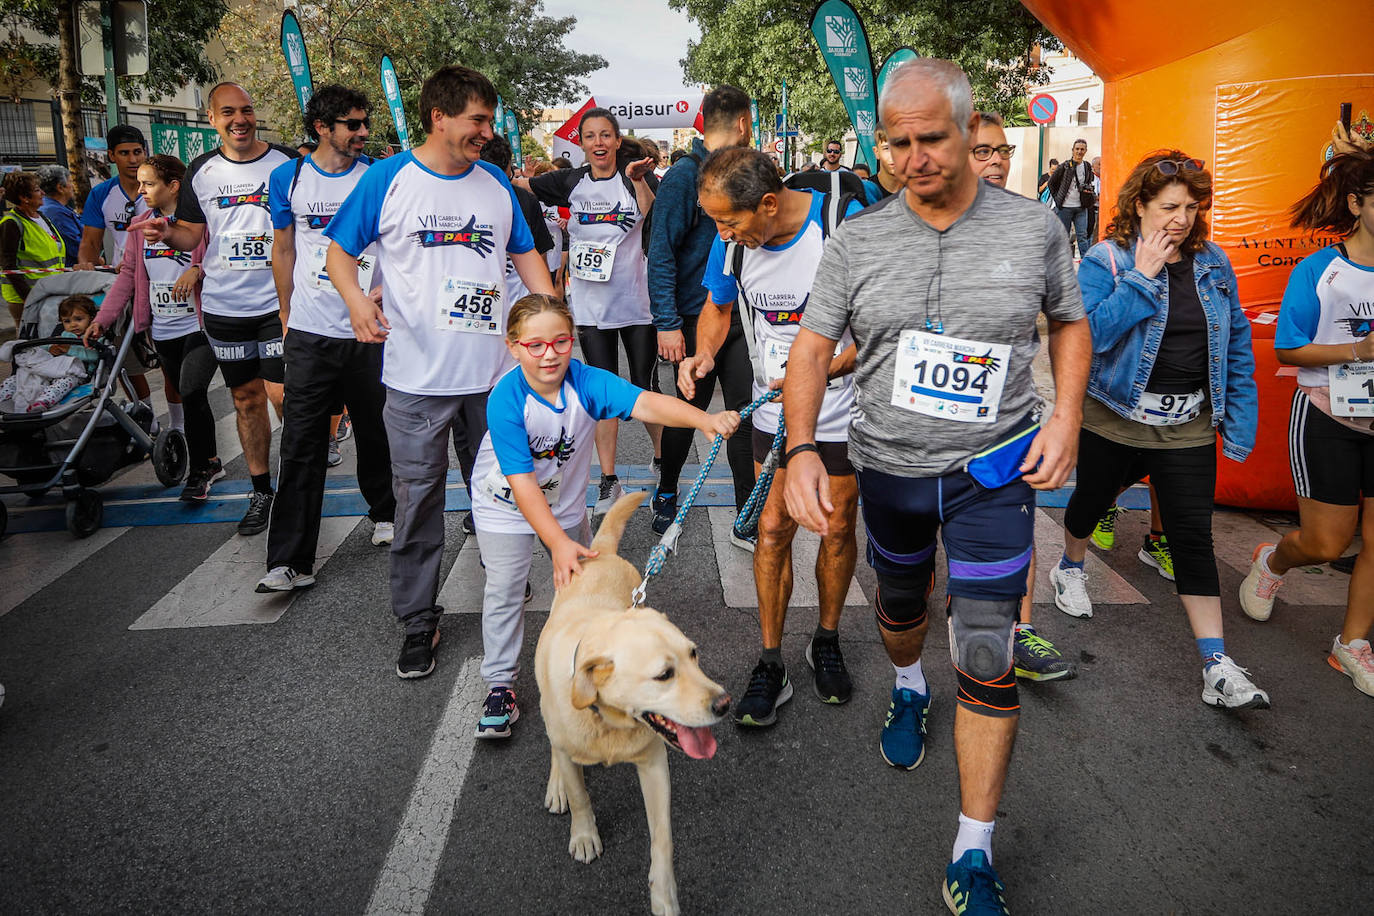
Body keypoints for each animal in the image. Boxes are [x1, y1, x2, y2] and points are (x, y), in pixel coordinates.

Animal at [535, 494, 730, 916]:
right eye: (664, 675)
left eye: (694, 655)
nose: (725, 704)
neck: (609, 721)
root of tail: (602, 554)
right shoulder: (572, 746)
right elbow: (580, 796)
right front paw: (584, 834)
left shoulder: (655, 765)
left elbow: (663, 840)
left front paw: (664, 897)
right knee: (555, 746)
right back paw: (556, 783)